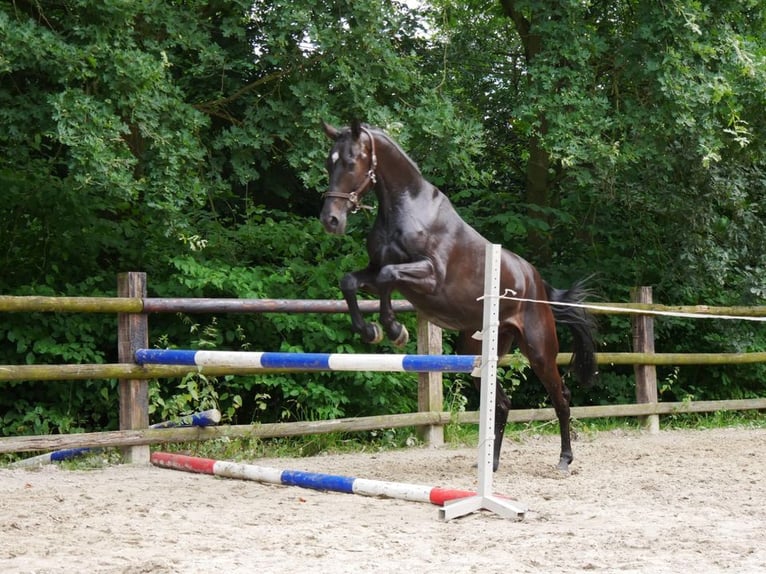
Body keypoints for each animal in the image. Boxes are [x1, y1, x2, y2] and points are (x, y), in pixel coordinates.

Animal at [320, 120, 600, 472]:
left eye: (351, 161)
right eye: (328, 163)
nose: (331, 220)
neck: (404, 206)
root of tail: (538, 282)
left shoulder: (428, 276)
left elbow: (388, 278)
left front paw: (395, 330)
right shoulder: (373, 270)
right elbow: (350, 282)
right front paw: (370, 331)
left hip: (539, 350)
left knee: (560, 397)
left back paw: (564, 459)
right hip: (478, 350)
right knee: (503, 403)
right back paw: (491, 464)